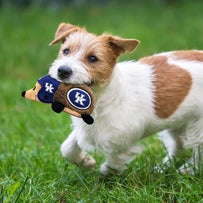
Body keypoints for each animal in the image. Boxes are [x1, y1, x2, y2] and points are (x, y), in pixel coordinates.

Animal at [48, 22, 203, 174]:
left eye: (93, 58)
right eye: (66, 51)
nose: (63, 71)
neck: (100, 99)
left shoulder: (119, 145)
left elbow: (111, 166)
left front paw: (104, 176)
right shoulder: (85, 129)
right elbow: (67, 148)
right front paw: (87, 162)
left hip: (199, 126)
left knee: (198, 151)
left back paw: (188, 170)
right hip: (176, 121)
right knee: (179, 145)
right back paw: (162, 168)